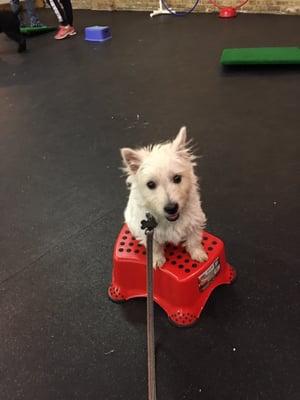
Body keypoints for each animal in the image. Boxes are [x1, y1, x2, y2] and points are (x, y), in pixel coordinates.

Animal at [120, 126, 207, 268]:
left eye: (177, 178)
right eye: (150, 184)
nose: (171, 208)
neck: (170, 220)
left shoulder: (195, 221)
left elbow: (194, 240)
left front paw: (198, 254)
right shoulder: (148, 232)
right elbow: (154, 248)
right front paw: (156, 260)